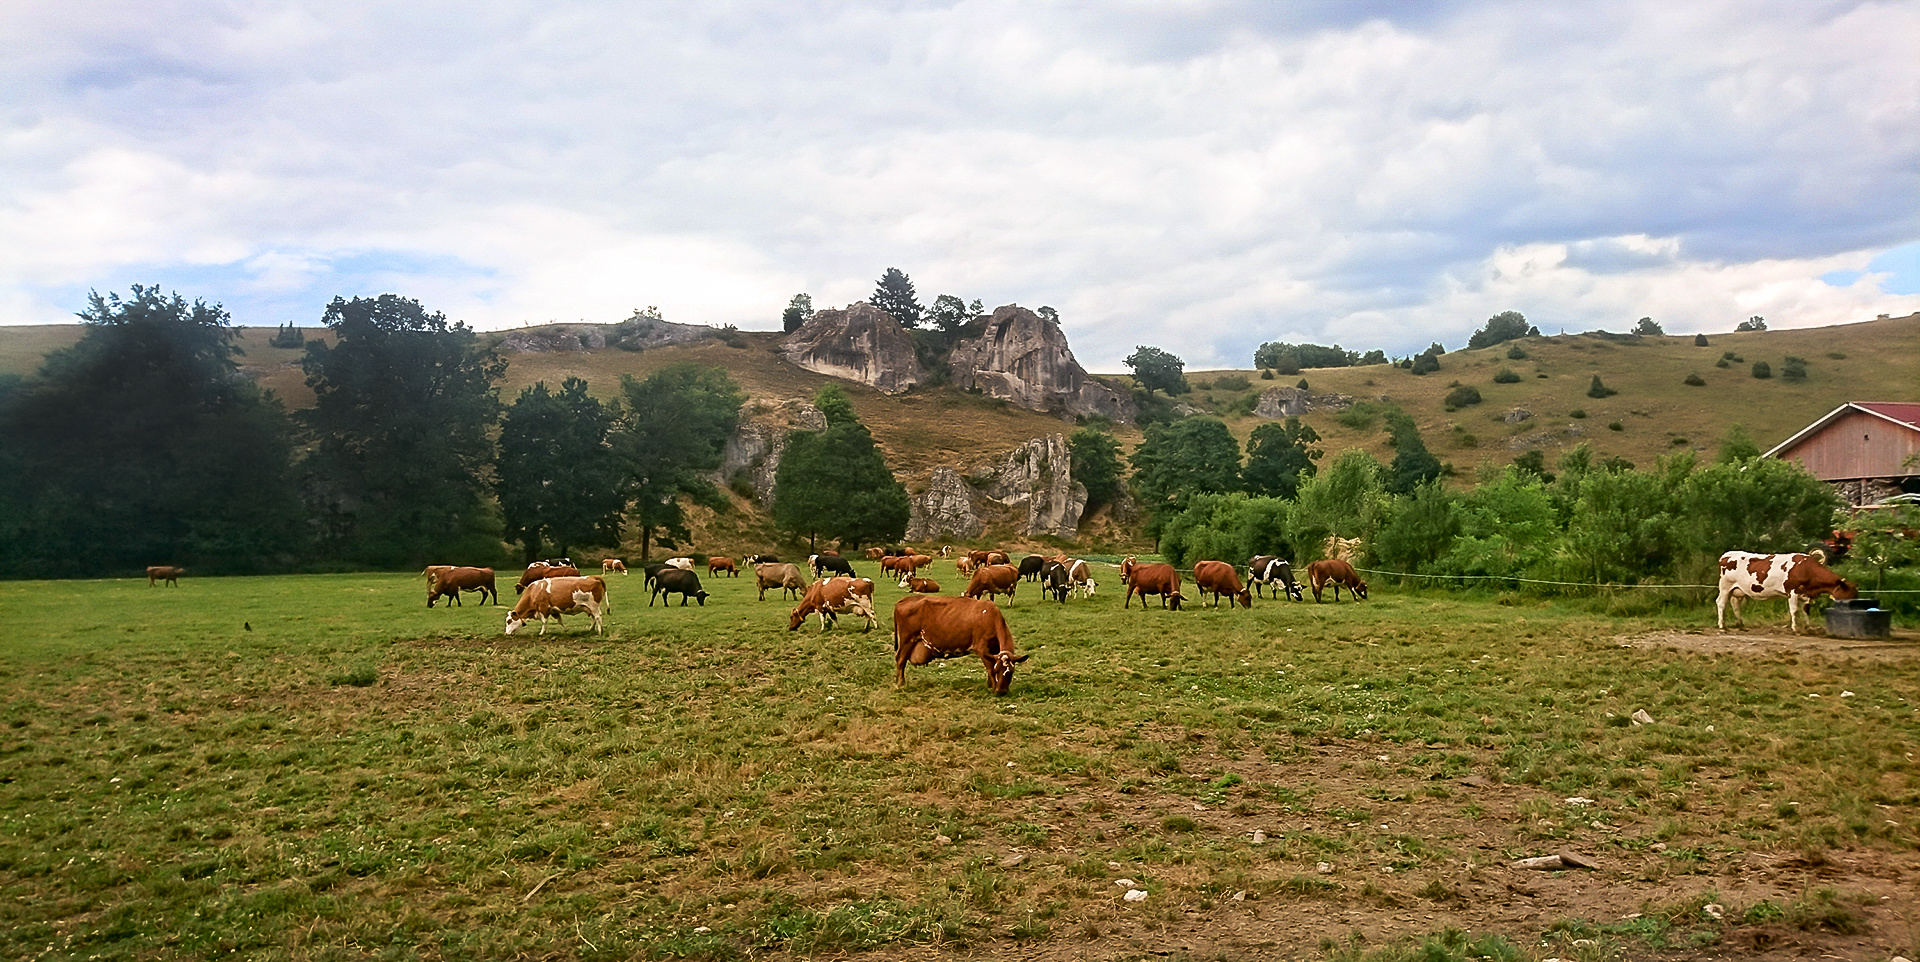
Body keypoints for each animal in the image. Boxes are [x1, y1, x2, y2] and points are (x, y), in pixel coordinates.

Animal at [887, 591, 1029, 691]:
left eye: (1010, 672)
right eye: (997, 670)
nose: (1001, 691)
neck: (989, 616)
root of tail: (905, 599)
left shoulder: (993, 650)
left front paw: (990, 685)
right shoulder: (981, 648)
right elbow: (989, 667)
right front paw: (992, 686)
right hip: (907, 640)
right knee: (900, 660)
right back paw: (901, 683)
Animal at [1720, 549, 1850, 629]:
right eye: (1847, 592)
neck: (1806, 568)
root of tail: (1727, 554)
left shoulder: (1805, 594)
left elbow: (1806, 610)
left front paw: (1808, 627)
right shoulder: (1793, 592)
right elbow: (1794, 610)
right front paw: (1795, 628)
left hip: (1738, 590)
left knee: (1735, 604)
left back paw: (1740, 624)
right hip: (1725, 587)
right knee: (1721, 603)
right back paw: (1722, 626)